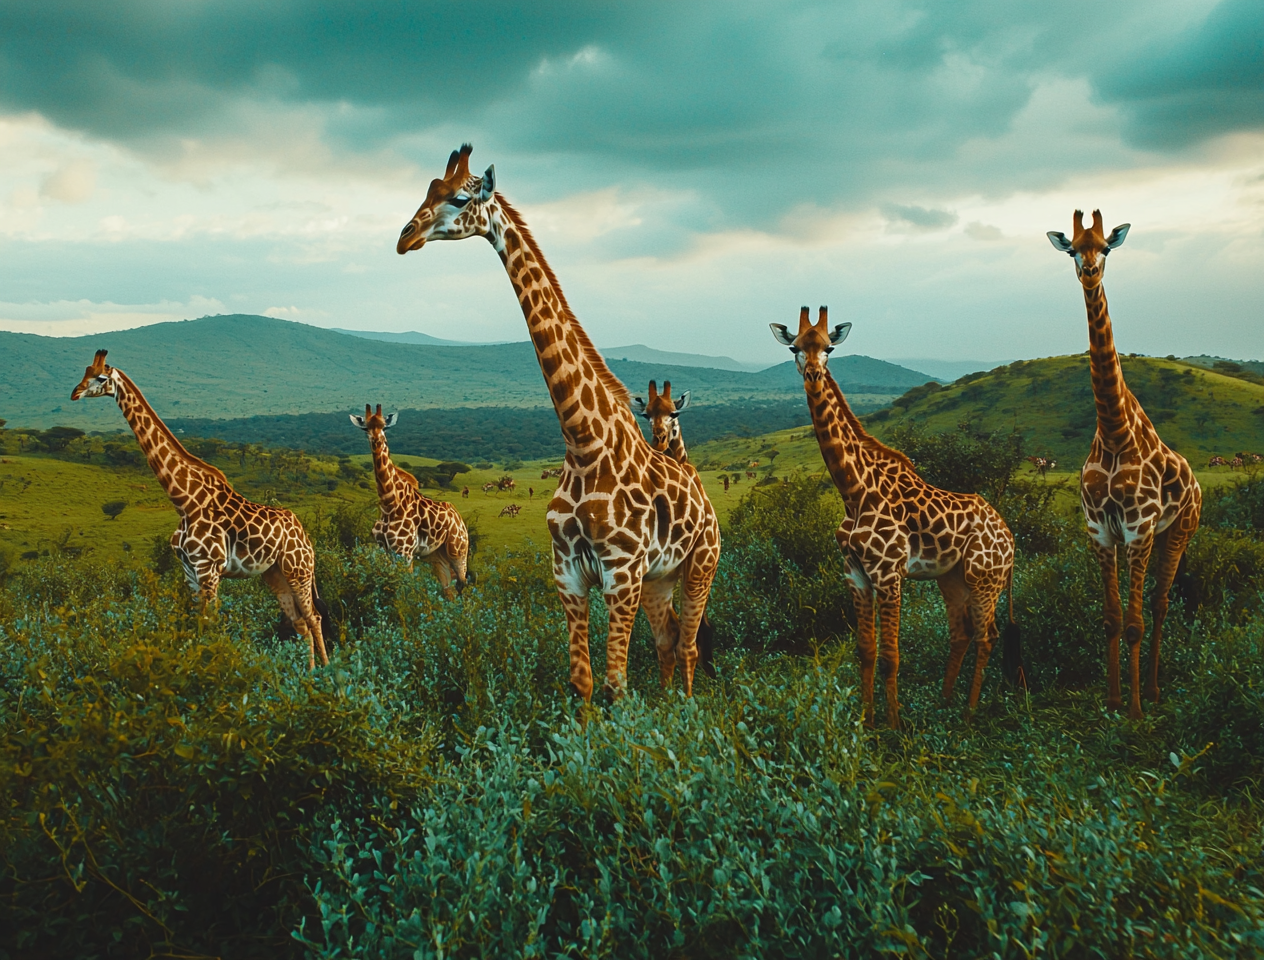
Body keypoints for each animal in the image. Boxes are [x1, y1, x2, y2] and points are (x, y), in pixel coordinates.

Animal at [71, 351, 331, 668]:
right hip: (275, 573)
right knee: (300, 622)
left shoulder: (209, 569)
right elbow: (196, 625)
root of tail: (305, 535)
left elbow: (211, 625)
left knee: (314, 616)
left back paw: (326, 671)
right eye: (84, 370)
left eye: (101, 378)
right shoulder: (189, 571)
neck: (184, 501)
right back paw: (308, 672)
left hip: (299, 569)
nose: (74, 393)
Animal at [350, 404, 471, 598]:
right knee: (448, 587)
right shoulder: (385, 549)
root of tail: (459, 518)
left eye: (384, 426)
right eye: (365, 428)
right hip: (436, 556)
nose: (376, 440)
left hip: (458, 549)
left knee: (463, 584)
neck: (388, 503)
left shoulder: (405, 552)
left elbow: (404, 589)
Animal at [397, 144, 721, 699]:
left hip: (700, 564)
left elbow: (615, 684)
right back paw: (667, 707)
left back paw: (686, 707)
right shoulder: (568, 575)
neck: (583, 441)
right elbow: (583, 682)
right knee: (669, 639)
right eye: (427, 191)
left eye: (459, 197)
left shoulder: (620, 575)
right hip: (660, 578)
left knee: (689, 644)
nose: (404, 237)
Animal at [771, 308, 1021, 727]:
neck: (853, 492)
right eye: (794, 347)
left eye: (829, 348)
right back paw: (944, 701)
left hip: (986, 578)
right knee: (962, 632)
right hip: (952, 578)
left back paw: (969, 712)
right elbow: (866, 652)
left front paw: (895, 726)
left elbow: (891, 656)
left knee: (988, 635)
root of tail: (1010, 536)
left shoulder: (889, 574)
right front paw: (867, 720)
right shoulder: (855, 574)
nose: (814, 375)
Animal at [1047, 210, 1201, 719]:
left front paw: (1133, 711)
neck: (1114, 433)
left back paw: (1151, 690)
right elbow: (1112, 618)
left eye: (1105, 248)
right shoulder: (1099, 530)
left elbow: (1133, 621)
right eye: (1073, 250)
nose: (1090, 273)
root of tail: (1197, 483)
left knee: (1160, 604)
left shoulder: (1138, 528)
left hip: (1179, 530)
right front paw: (1113, 700)